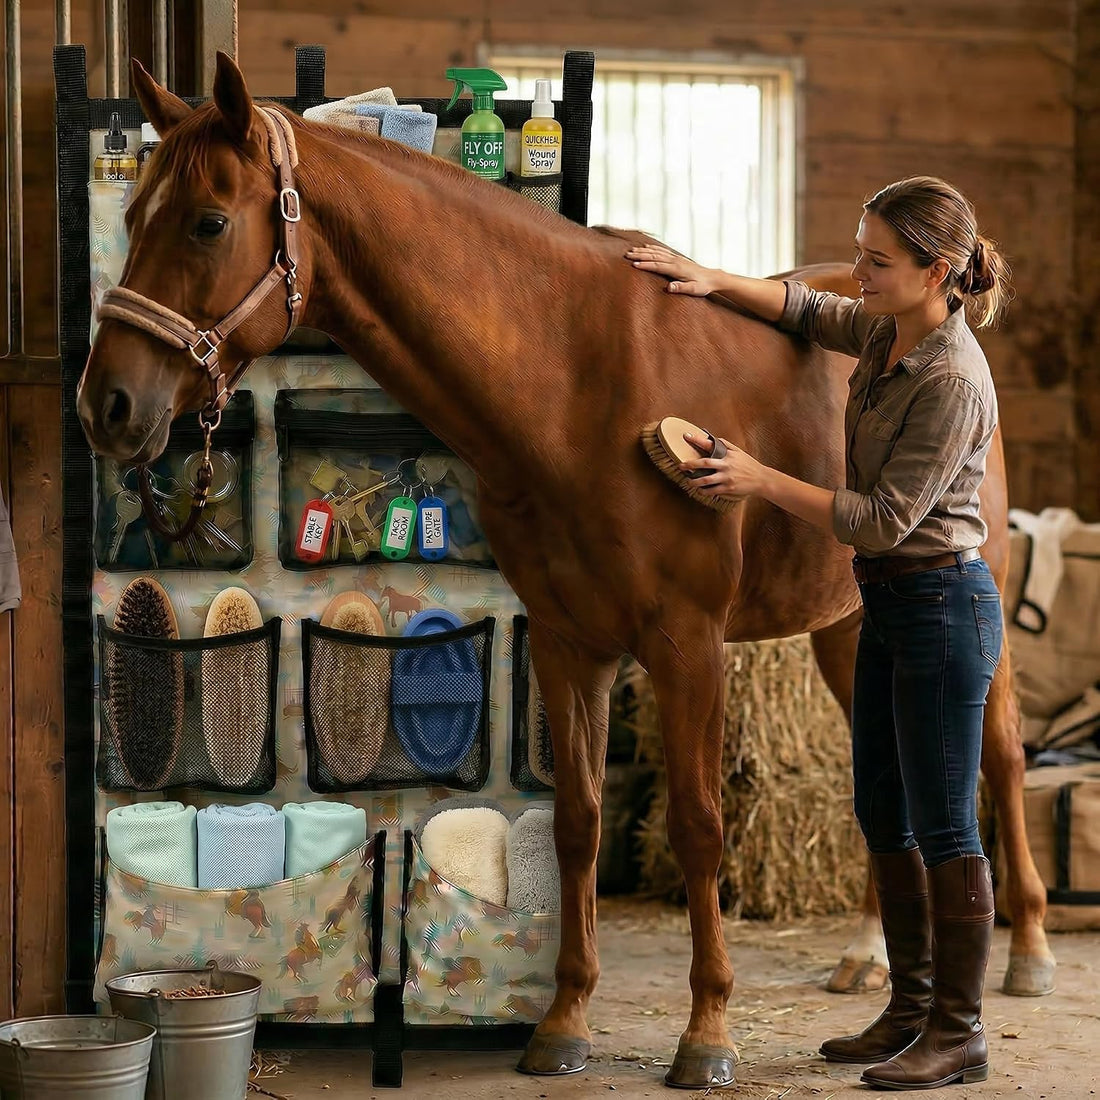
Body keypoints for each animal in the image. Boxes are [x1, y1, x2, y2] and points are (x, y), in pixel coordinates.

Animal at [76, 53, 1053, 1089]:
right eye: (132, 214)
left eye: (209, 222)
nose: (108, 405)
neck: (576, 379)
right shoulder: (567, 639)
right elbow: (578, 821)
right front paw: (565, 1022)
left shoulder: (687, 645)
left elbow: (700, 826)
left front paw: (707, 1034)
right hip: (848, 628)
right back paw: (868, 958)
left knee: (996, 755)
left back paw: (1027, 952)